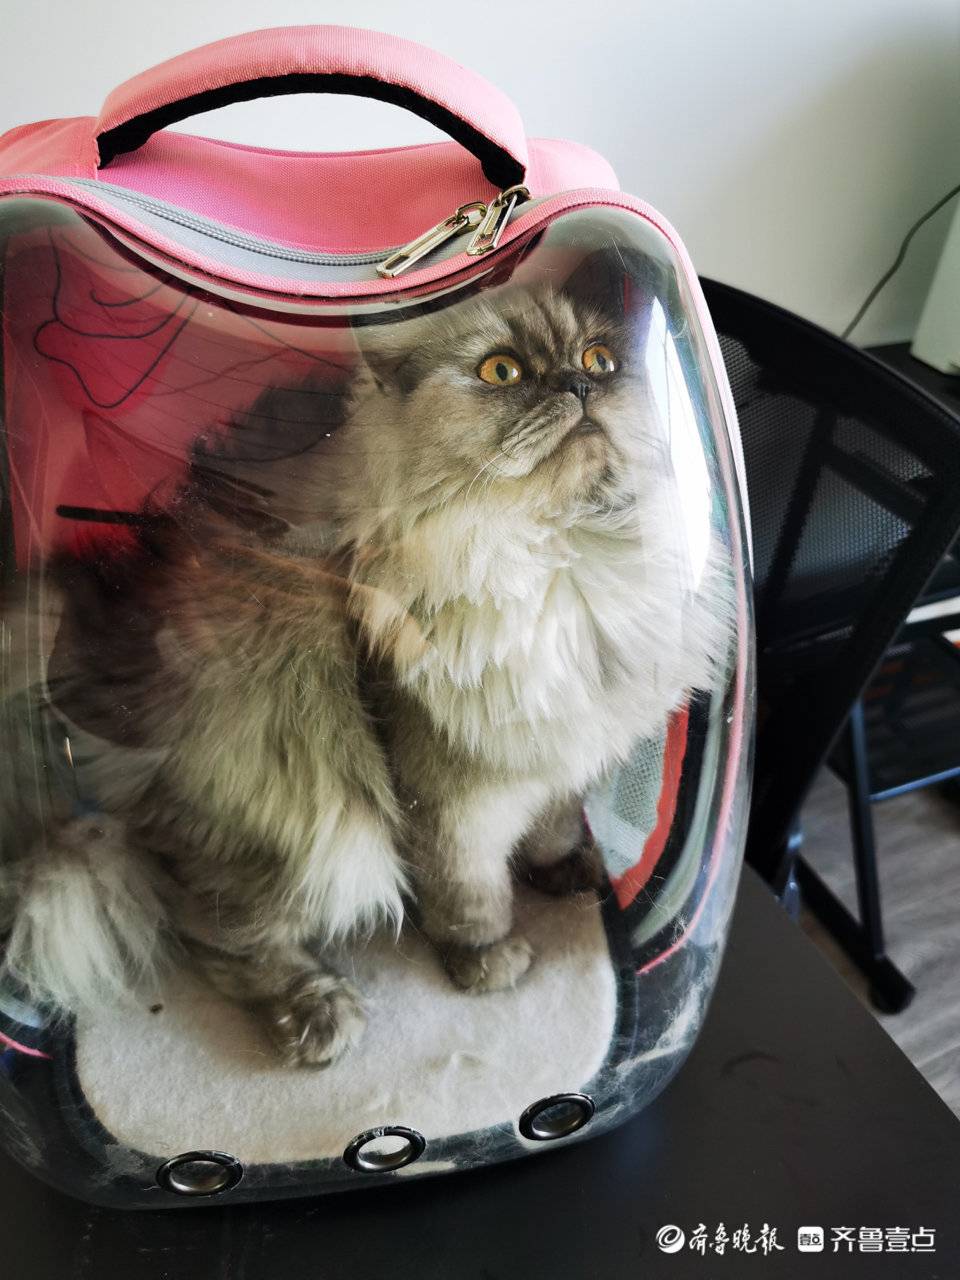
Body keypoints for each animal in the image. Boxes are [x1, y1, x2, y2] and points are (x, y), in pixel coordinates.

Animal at [0, 280, 731, 1068]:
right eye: (501, 372)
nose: (577, 384)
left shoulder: (556, 752)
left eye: (599, 359)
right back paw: (317, 1012)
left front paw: (568, 871)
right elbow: (469, 893)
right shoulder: (447, 796)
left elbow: (556, 825)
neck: (566, 558)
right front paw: (487, 961)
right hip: (303, 824)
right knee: (205, 932)